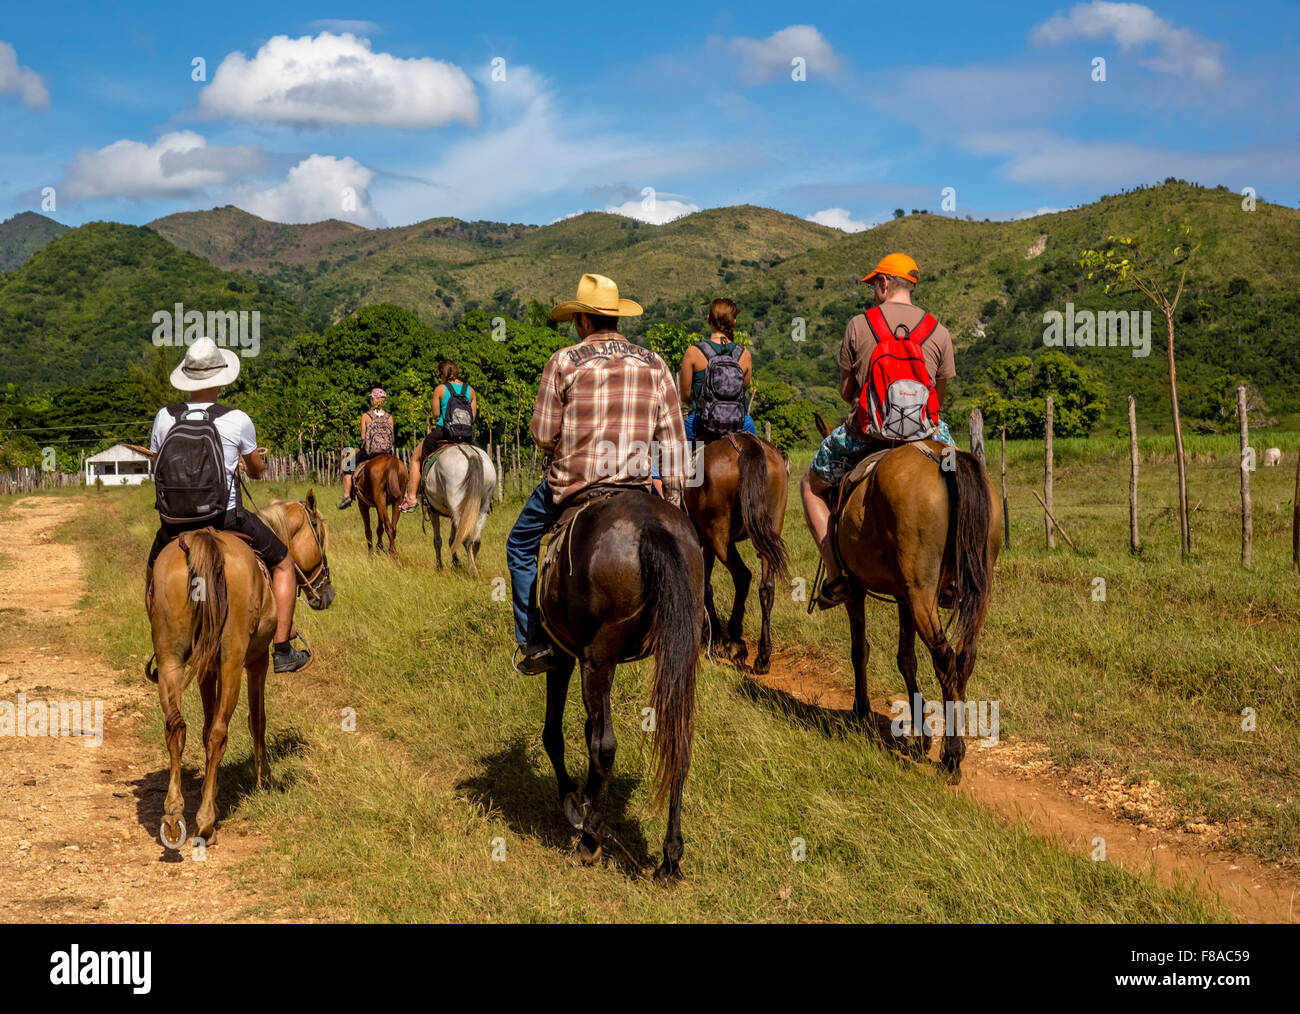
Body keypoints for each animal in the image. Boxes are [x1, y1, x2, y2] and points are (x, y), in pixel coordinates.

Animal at [144, 493, 335, 842]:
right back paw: (206, 820)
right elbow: (256, 720)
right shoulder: (257, 660)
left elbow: (205, 726)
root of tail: (204, 542)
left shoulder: (207, 667)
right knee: (220, 732)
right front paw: (265, 780)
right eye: (320, 535)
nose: (327, 594)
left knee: (176, 727)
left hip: (170, 659)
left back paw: (174, 812)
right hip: (233, 659)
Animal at [418, 441, 493, 574]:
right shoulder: (452, 514)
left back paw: (472, 570)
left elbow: (437, 540)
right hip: (481, 508)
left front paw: (439, 566)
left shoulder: (433, 511)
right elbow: (453, 539)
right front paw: (456, 563)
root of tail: (471, 453)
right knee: (475, 540)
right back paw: (473, 565)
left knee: (466, 539)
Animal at [535, 486, 707, 873]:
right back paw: (670, 857)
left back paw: (590, 840)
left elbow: (555, 734)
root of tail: (650, 526)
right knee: (679, 743)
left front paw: (573, 800)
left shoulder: (564, 657)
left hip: (597, 658)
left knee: (605, 746)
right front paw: (585, 795)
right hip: (678, 649)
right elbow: (585, 729)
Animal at [686, 428, 785, 670]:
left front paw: (712, 637)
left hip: (720, 537)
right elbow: (706, 584)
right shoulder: (705, 541)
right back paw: (763, 654)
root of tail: (745, 443)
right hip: (770, 529)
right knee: (766, 587)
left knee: (742, 576)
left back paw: (735, 641)